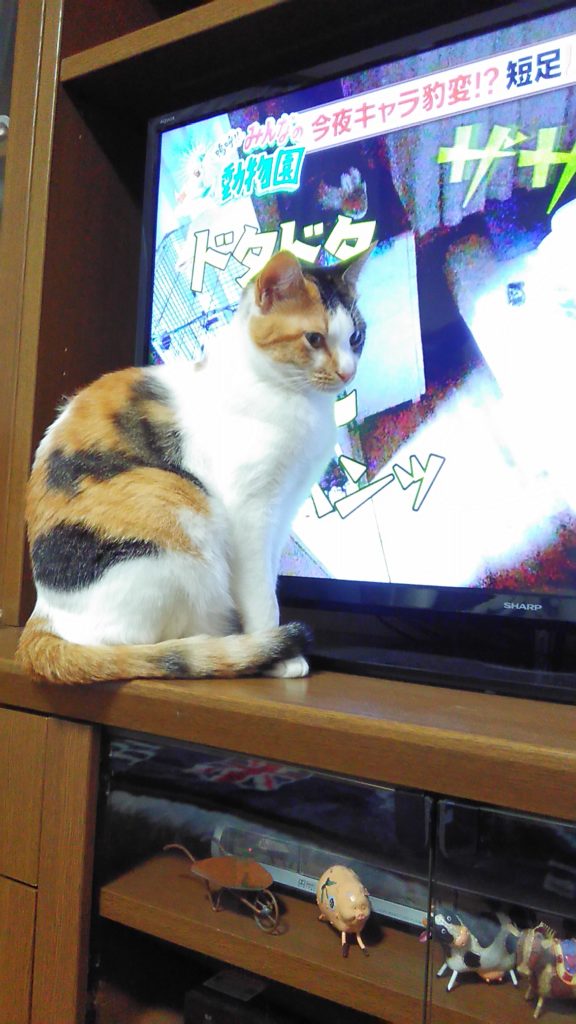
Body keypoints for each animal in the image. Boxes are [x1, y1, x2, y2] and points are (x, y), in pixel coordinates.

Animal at [16, 248, 369, 684]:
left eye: (356, 337)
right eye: (314, 338)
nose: (347, 372)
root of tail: (43, 616)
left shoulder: (282, 513)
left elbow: (270, 580)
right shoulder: (251, 515)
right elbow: (261, 594)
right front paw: (280, 655)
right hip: (178, 531)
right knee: (140, 646)